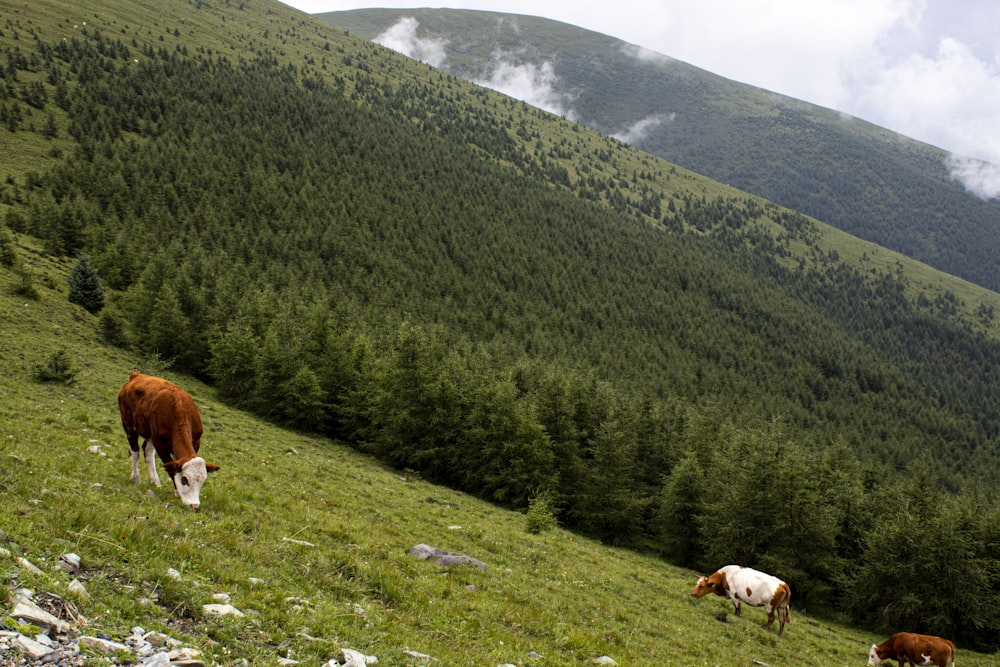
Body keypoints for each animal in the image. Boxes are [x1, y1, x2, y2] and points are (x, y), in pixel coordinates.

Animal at [117, 374, 219, 508]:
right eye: (184, 480)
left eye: (202, 482)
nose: (195, 505)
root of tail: (136, 375)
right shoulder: (159, 443)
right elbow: (171, 468)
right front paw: (177, 492)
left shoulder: (196, 441)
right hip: (128, 424)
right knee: (135, 452)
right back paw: (136, 477)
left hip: (149, 433)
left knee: (147, 451)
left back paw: (155, 481)